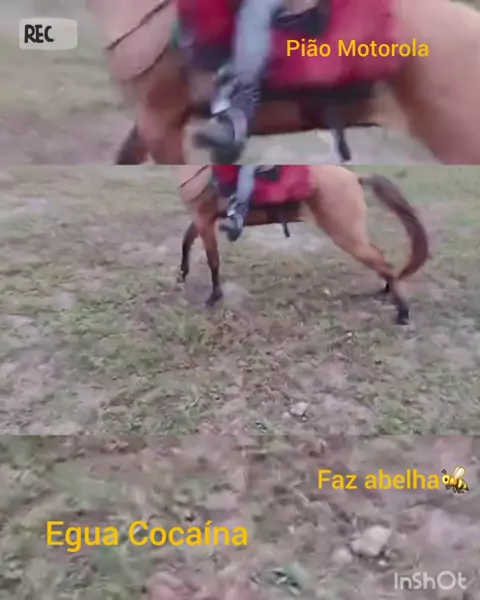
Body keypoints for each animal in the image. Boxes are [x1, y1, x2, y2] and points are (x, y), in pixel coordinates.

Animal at [177, 165, 430, 325]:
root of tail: (354, 177)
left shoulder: (205, 219)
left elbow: (213, 260)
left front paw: (213, 297)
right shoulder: (200, 219)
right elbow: (186, 241)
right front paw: (182, 274)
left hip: (346, 234)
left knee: (380, 261)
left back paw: (403, 312)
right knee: (380, 258)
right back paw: (388, 290)